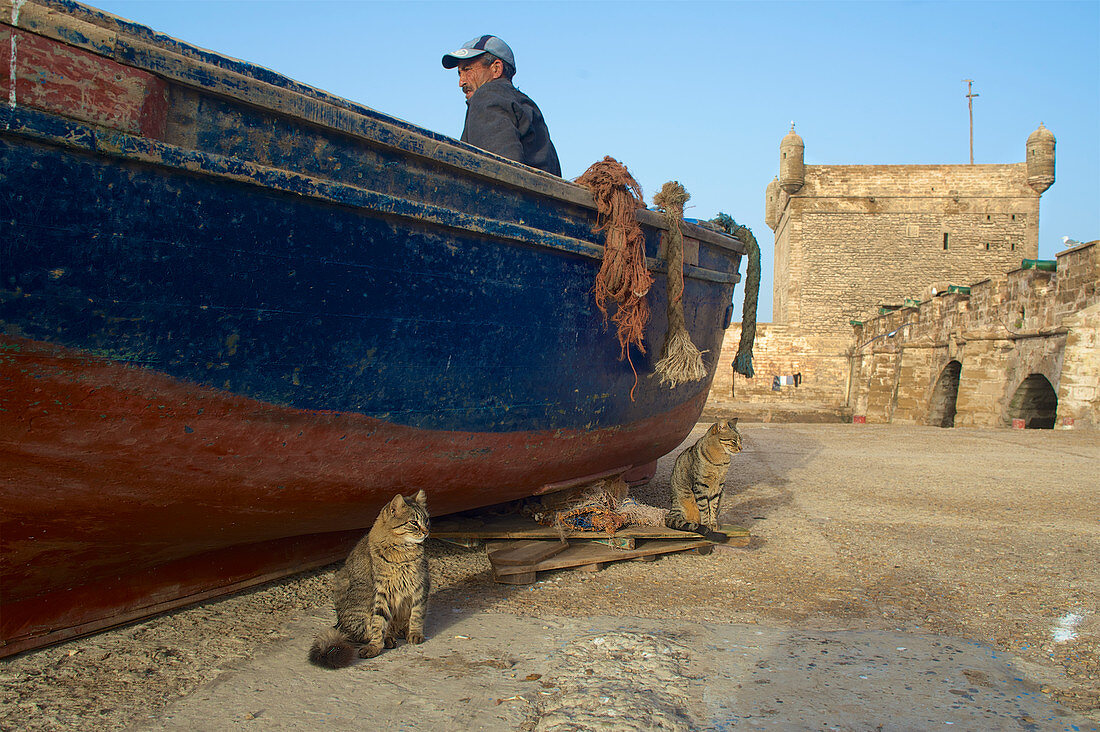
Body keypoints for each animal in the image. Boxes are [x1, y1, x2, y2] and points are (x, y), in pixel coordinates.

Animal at [312, 490, 431, 669]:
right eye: (413, 523)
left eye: (426, 520)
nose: (426, 531)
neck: (403, 552)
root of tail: (339, 624)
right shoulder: (382, 593)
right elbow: (379, 622)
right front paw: (375, 646)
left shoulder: (420, 585)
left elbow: (417, 614)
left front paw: (415, 633)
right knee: (361, 634)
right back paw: (387, 639)